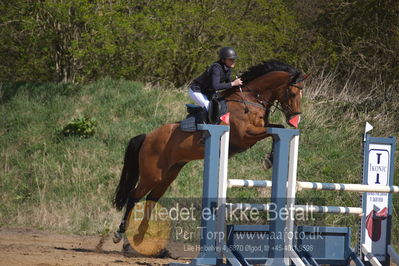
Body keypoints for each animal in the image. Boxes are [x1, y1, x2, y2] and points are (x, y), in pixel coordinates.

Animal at [111, 59, 306, 246]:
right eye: (292, 93)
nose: (295, 118)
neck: (250, 100)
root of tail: (147, 136)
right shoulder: (245, 135)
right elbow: (274, 131)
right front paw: (268, 160)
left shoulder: (259, 129)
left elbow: (277, 129)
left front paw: (270, 159)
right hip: (151, 175)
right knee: (133, 197)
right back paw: (120, 234)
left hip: (168, 175)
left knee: (152, 199)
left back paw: (140, 236)